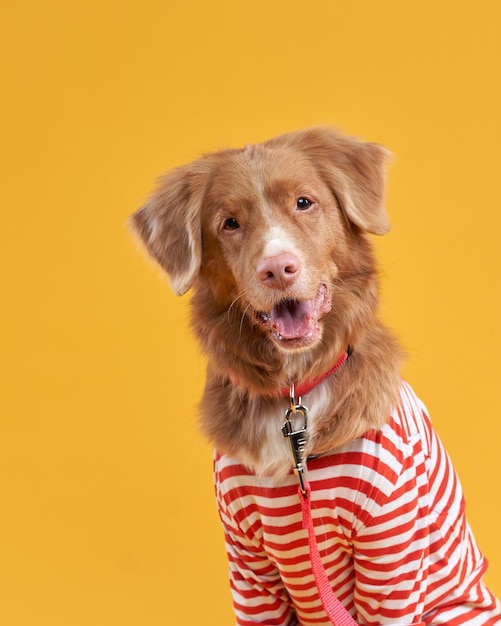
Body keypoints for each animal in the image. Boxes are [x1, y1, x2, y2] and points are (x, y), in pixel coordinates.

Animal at [130, 128, 500, 624]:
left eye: (304, 203)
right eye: (229, 224)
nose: (277, 268)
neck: (293, 391)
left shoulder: (392, 556)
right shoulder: (249, 568)